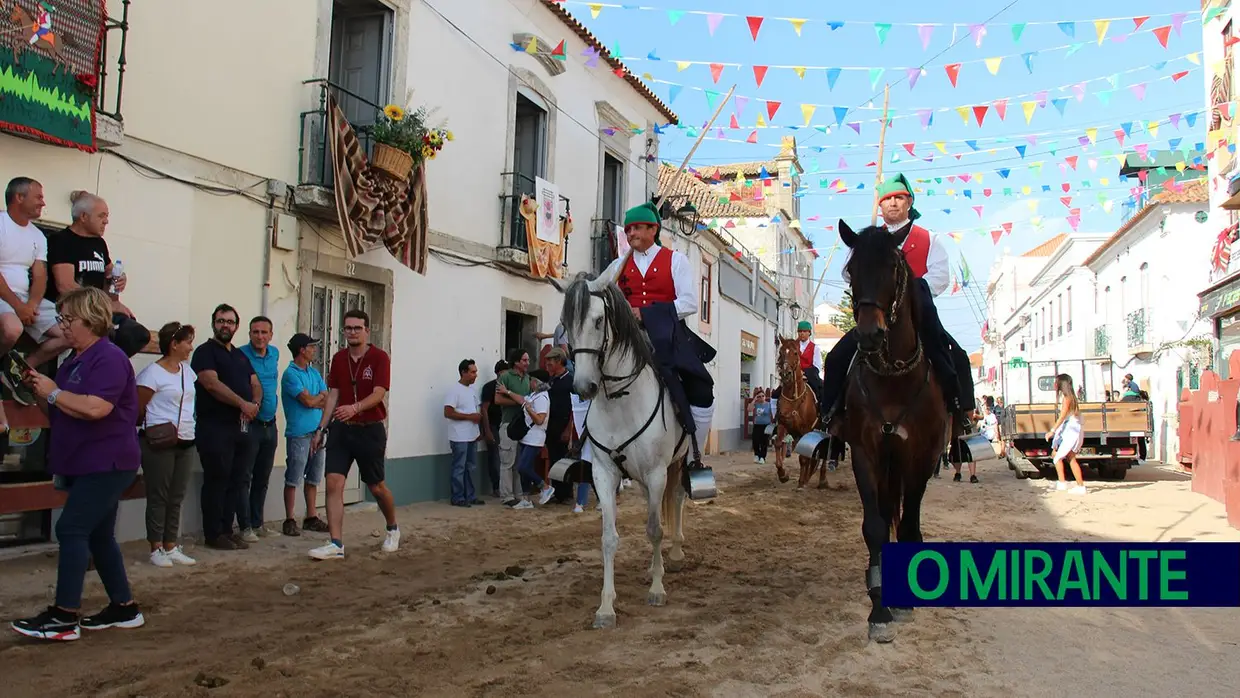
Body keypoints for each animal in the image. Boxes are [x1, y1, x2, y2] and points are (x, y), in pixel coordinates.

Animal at [550, 259, 694, 629]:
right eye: (565, 324)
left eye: (599, 321)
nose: (583, 387)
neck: (620, 400)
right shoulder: (604, 473)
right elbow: (609, 538)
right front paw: (606, 607)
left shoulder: (657, 471)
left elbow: (655, 529)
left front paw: (657, 589)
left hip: (677, 462)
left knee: (675, 500)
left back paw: (675, 554)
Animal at [768, 334, 828, 488]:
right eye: (781, 352)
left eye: (796, 353)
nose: (786, 373)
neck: (793, 399)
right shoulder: (784, 425)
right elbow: (778, 444)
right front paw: (783, 475)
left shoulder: (806, 430)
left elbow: (804, 457)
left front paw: (801, 482)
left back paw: (822, 480)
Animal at [838, 219, 952, 644]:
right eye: (852, 271)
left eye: (893, 268)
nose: (869, 336)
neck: (892, 379)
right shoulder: (865, 453)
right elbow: (875, 526)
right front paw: (878, 608)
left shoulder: (920, 457)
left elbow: (908, 523)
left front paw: (901, 602)